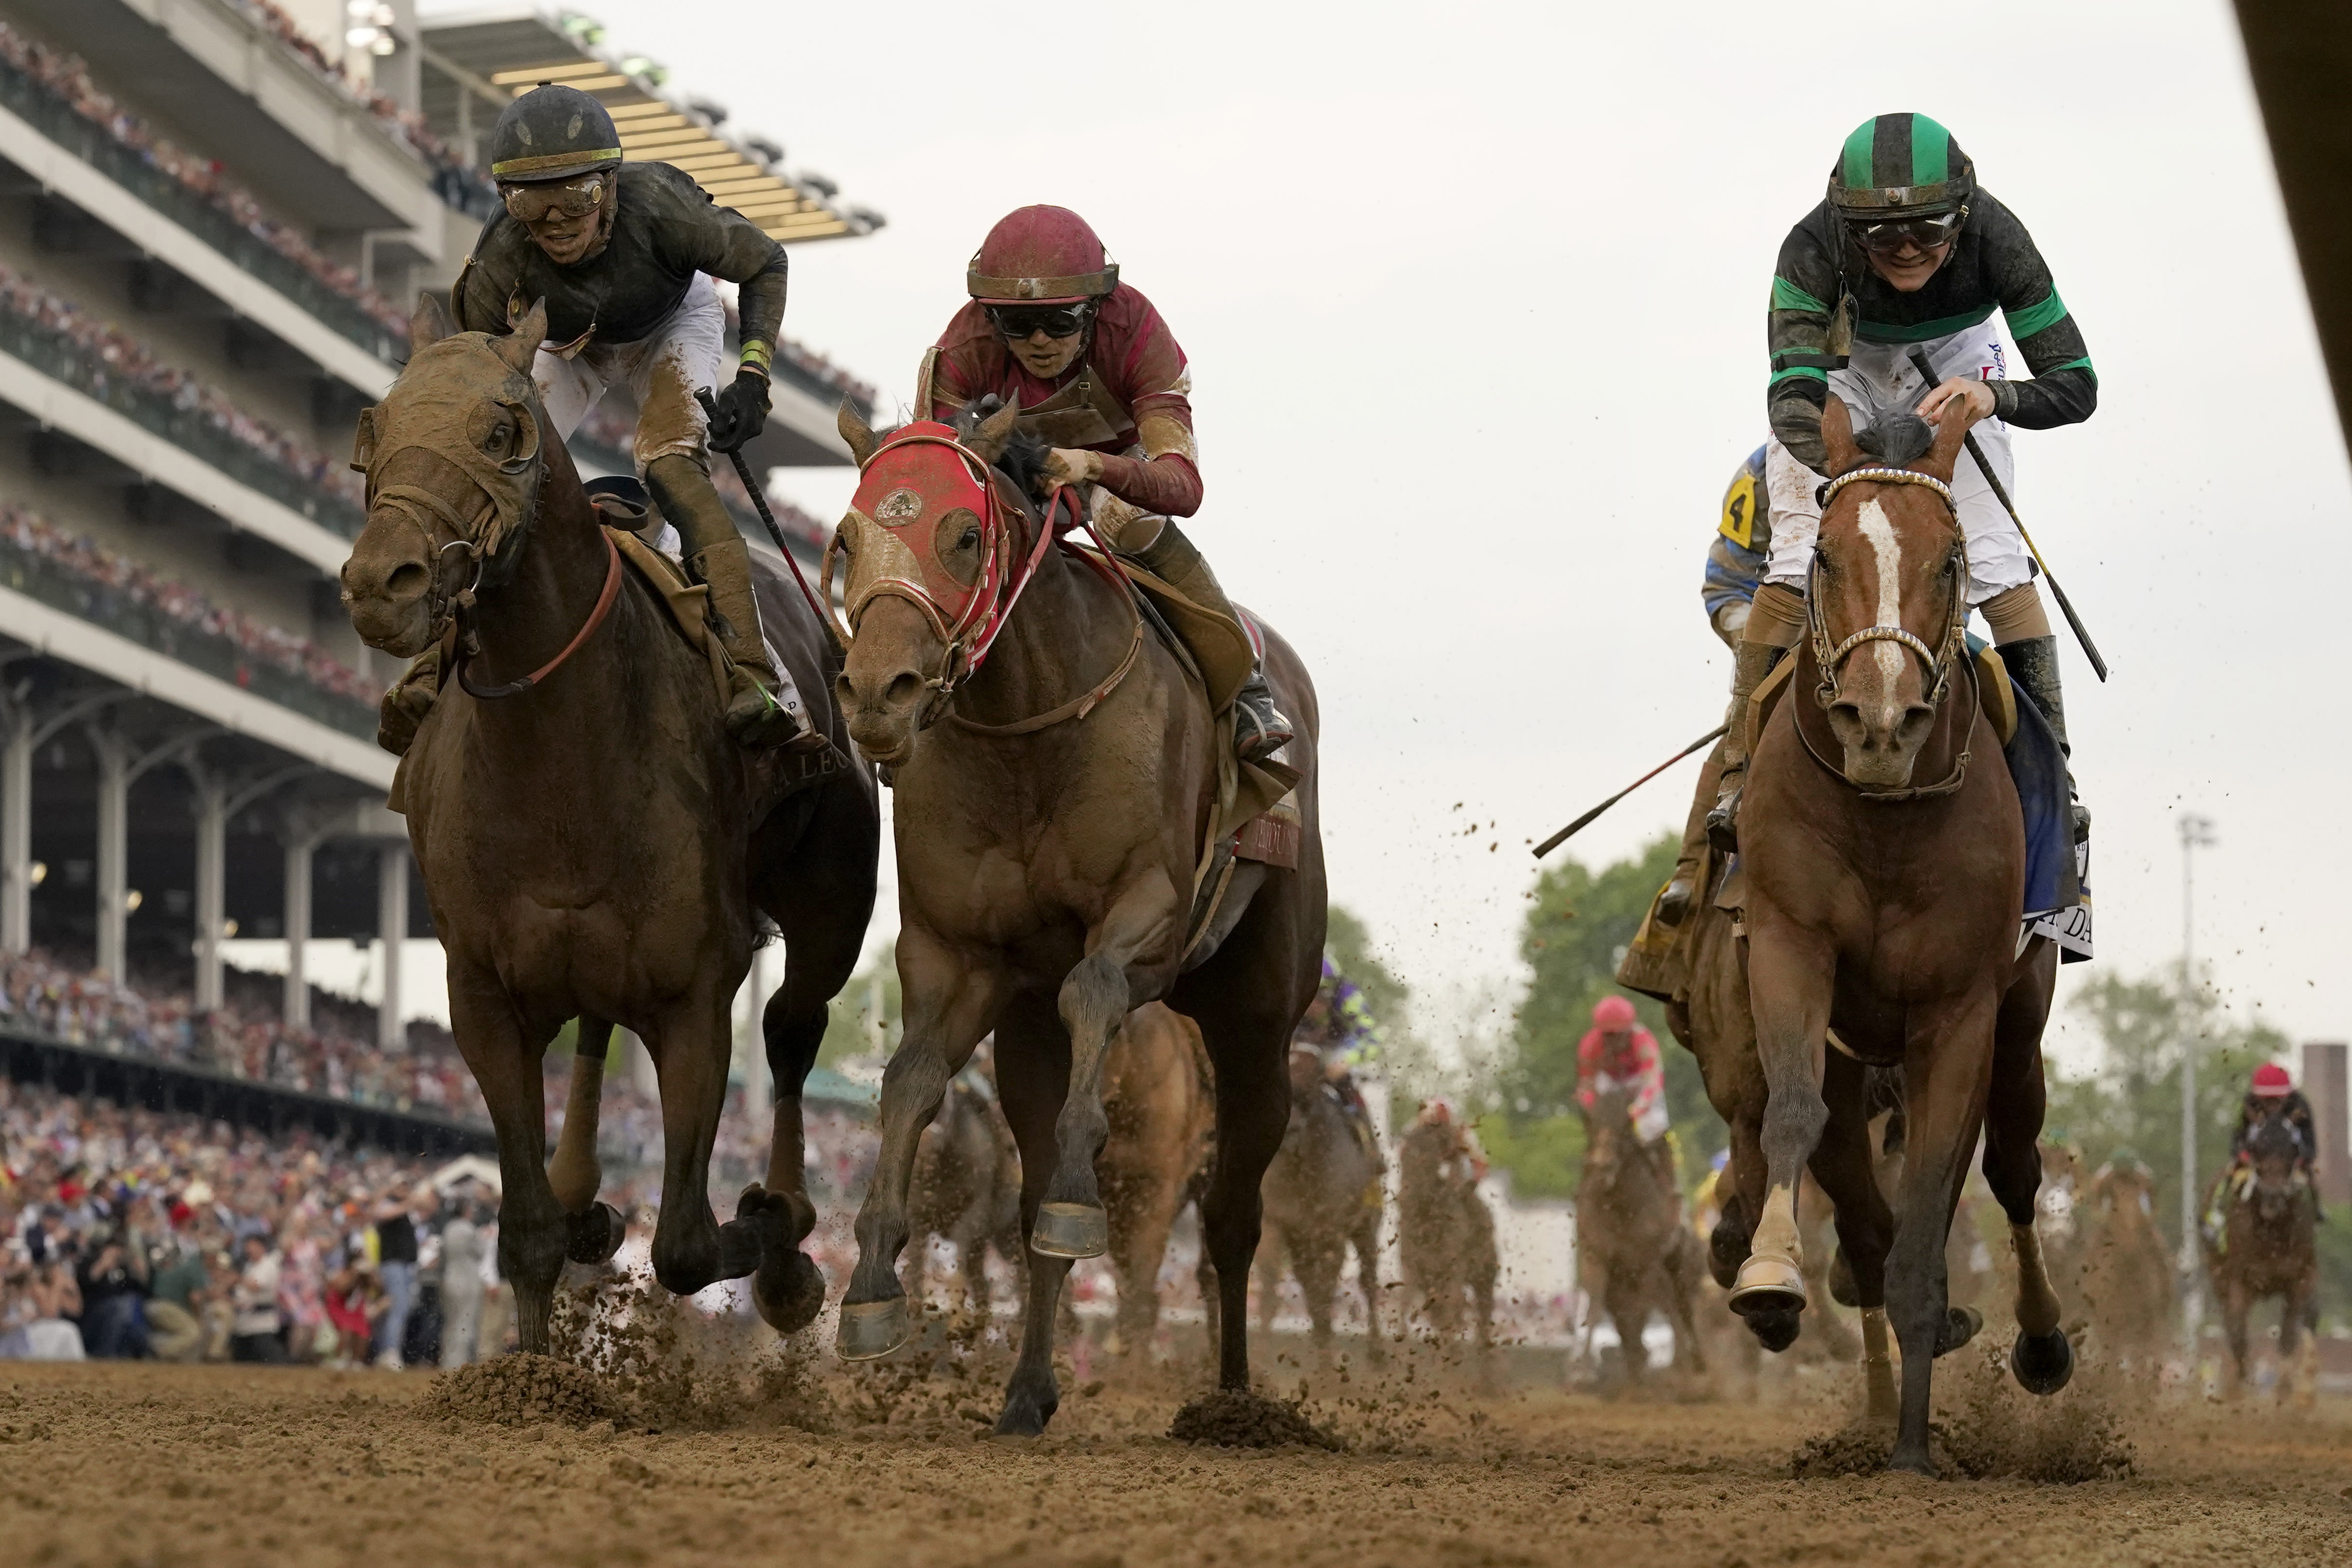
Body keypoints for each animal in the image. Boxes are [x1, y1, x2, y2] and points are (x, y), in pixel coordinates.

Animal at [336, 300, 879, 1354]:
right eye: (372, 428)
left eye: (503, 431)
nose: (385, 581)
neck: (557, 755)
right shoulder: (484, 996)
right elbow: (528, 1231)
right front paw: (533, 1352)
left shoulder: (697, 991)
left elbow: (688, 1246)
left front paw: (773, 1231)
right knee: (595, 1030)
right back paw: (587, 1188)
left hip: (833, 903)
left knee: (792, 1032)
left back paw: (787, 1231)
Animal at [823, 395, 1326, 1438]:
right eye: (847, 539)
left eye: (965, 535)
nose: (877, 694)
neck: (1030, 730)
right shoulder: (958, 955)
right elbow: (910, 1080)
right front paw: (873, 1286)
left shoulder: (1150, 916)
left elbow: (1093, 991)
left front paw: (1074, 1195)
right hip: (1028, 1033)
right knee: (1029, 1196)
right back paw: (1028, 1389)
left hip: (1259, 1023)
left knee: (1233, 1216)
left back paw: (1233, 1401)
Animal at [1580, 1086, 1712, 1391]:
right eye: (1591, 1122)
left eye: (1624, 1124)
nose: (1602, 1166)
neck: (1620, 1208)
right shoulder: (1595, 1256)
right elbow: (1595, 1308)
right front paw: (1585, 1373)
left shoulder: (1646, 1263)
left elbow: (1646, 1316)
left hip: (1682, 1273)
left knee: (1682, 1314)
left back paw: (1691, 1372)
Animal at [1721, 399, 2070, 1476]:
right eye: (1826, 557)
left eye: (1949, 562)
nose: (1880, 721)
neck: (1883, 816)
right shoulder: (1790, 944)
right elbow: (1793, 1114)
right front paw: (1770, 1271)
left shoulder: (1960, 1010)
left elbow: (1936, 1206)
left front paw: (1914, 1450)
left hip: (2020, 1022)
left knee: (2012, 1173)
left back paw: (2041, 1343)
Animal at [2192, 1114, 2324, 1401]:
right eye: (2257, 1148)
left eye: (2292, 1150)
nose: (2273, 1196)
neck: (2272, 1231)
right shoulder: (2239, 1280)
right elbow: (2238, 1334)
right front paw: (2243, 1390)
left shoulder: (2301, 1277)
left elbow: (2291, 1333)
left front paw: (2288, 1393)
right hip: (2220, 1276)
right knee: (2233, 1328)